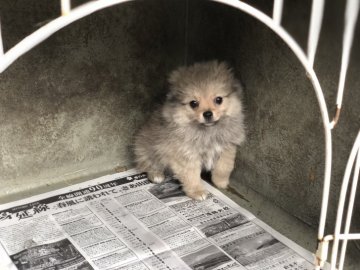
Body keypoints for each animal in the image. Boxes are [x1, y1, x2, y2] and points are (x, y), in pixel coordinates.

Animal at [134, 61, 246, 200]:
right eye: (193, 103)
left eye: (218, 99)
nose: (207, 113)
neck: (208, 131)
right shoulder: (186, 154)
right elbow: (191, 176)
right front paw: (197, 191)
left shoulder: (227, 148)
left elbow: (224, 167)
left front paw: (221, 182)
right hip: (147, 149)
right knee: (149, 163)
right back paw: (156, 175)